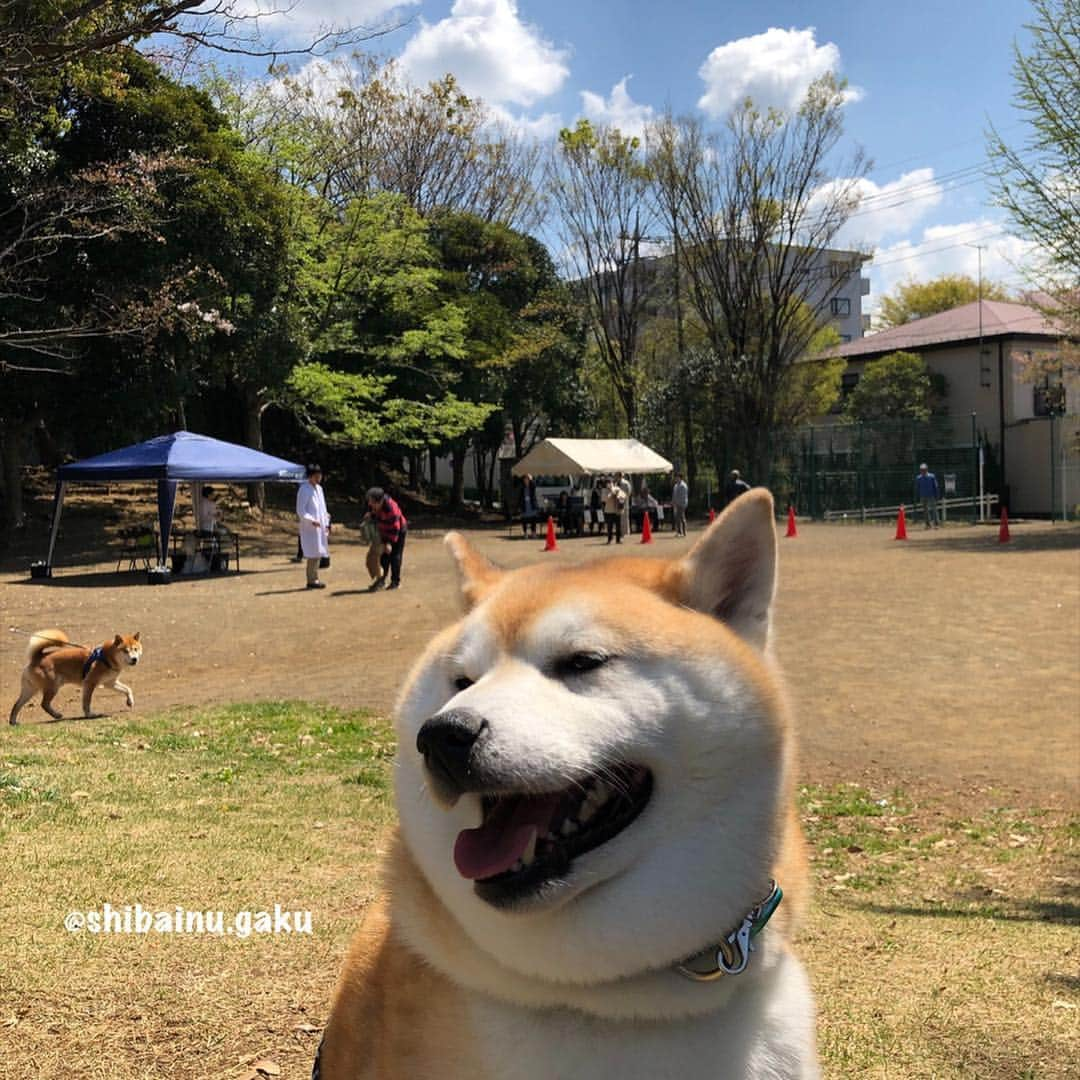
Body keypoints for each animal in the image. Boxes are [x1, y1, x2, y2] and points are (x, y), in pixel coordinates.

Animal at [7, 626, 142, 725]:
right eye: (125, 650)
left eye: (135, 649)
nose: (134, 659)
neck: (106, 658)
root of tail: (37, 657)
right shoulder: (89, 683)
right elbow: (87, 702)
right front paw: (89, 715)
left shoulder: (110, 683)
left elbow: (127, 689)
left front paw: (130, 701)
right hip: (52, 687)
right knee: (44, 704)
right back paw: (57, 715)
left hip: (30, 690)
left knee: (17, 705)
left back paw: (13, 722)